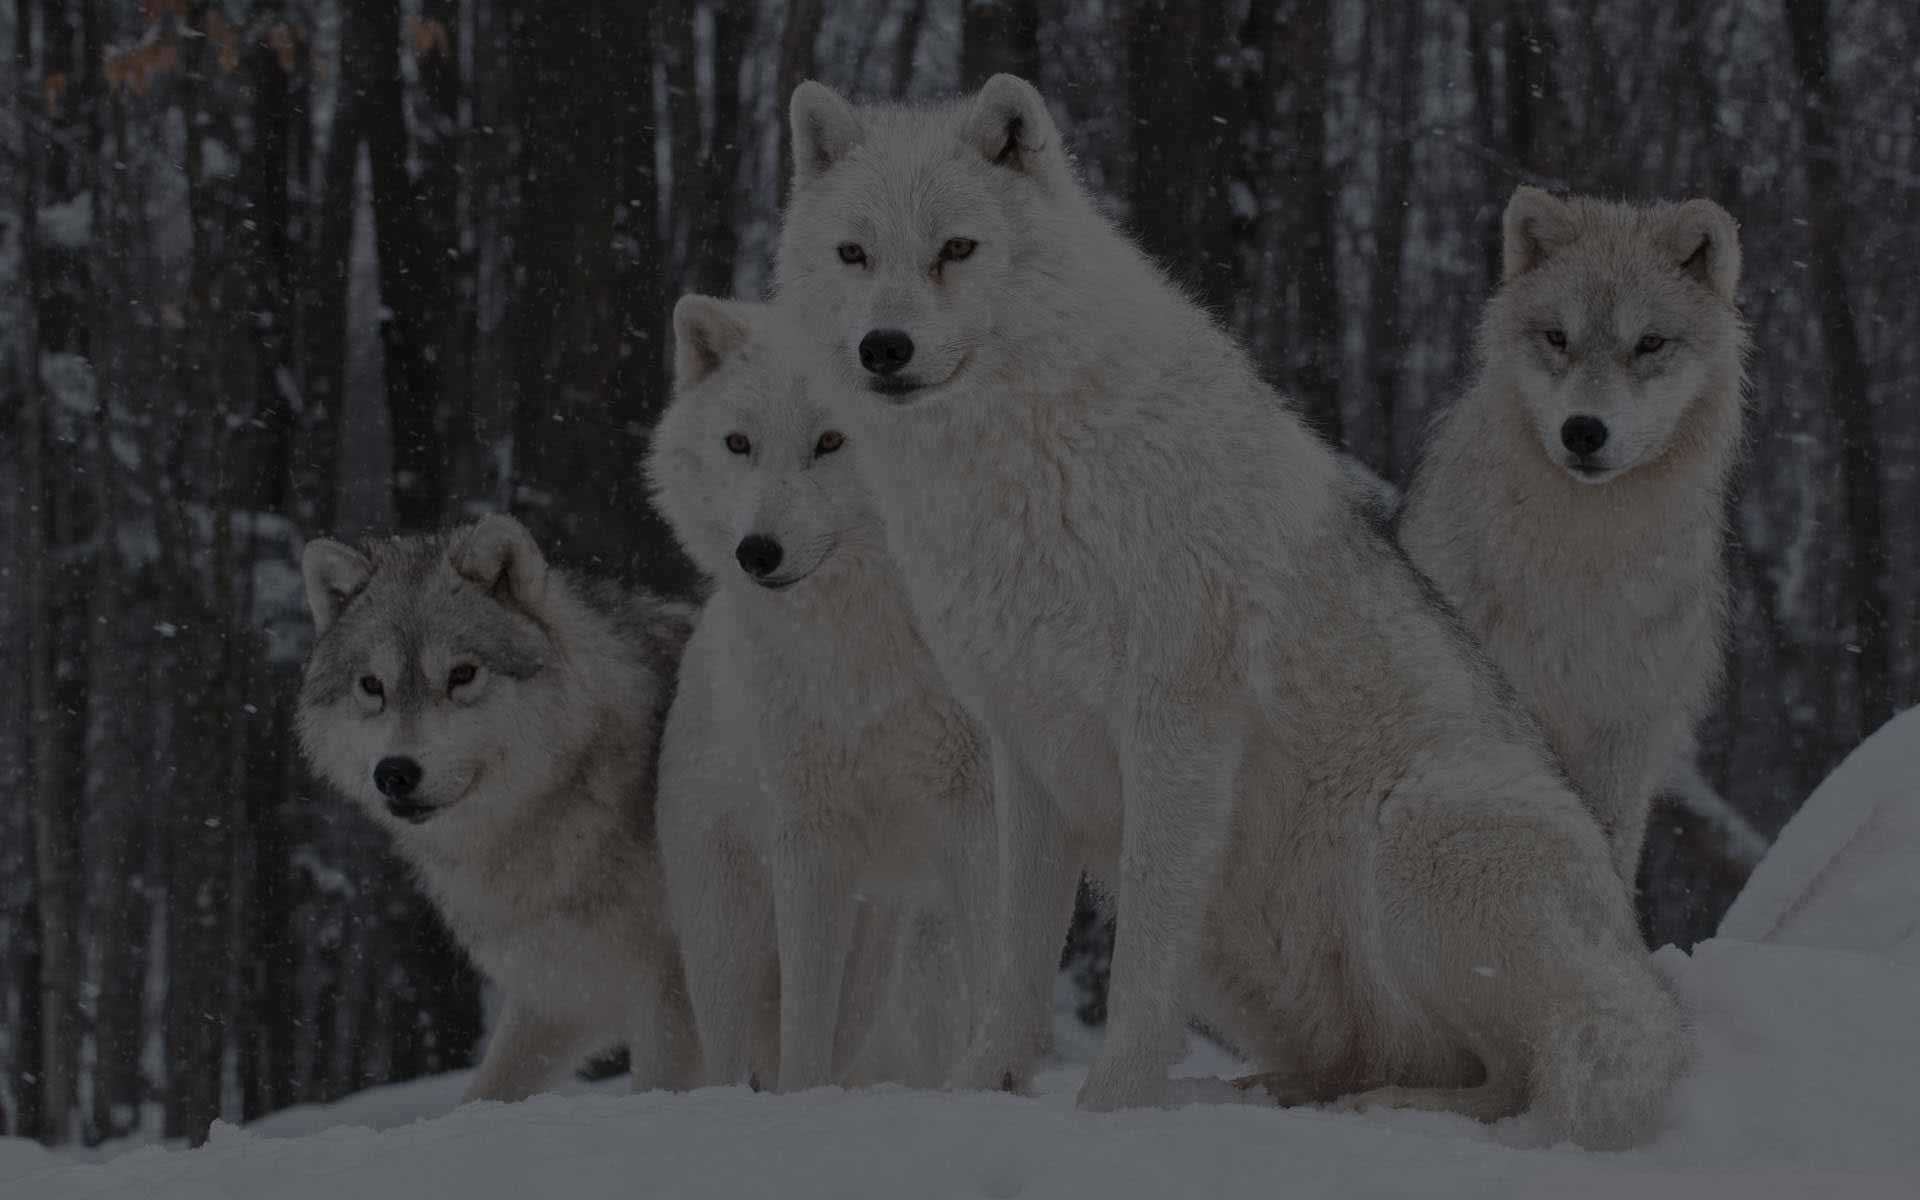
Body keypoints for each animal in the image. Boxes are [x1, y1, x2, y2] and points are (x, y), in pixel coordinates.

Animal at [297, 515, 701, 1102]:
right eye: (372, 686)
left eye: (462, 674)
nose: (395, 773)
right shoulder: (558, 993)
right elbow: (487, 1091)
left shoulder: (674, 994)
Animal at [646, 295, 994, 1092]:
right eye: (739, 443)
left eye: (833, 440)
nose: (756, 552)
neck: (869, 641)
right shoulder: (807, 840)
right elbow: (803, 1034)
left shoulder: (976, 812)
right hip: (728, 939)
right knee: (734, 1057)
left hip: (881, 945)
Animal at [773, 74, 1687, 1146]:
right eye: (854, 253)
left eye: (956, 249)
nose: (884, 347)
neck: (1024, 468)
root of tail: (1639, 973)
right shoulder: (1026, 750)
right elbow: (1012, 969)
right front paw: (973, 1095)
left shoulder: (1177, 727)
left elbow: (1139, 970)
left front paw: (1111, 1112)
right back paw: (1273, 1093)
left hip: (1415, 831)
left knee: (1518, 1075)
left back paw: (1389, 1109)